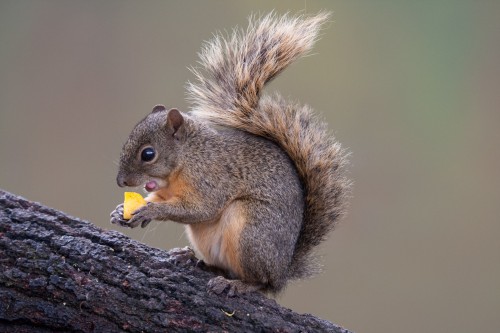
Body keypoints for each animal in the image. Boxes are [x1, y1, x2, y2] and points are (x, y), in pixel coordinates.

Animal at [111, 11, 350, 294]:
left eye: (148, 154)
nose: (121, 182)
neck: (187, 158)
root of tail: (282, 272)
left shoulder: (210, 179)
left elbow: (202, 209)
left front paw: (151, 212)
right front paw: (121, 211)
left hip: (250, 231)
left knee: (260, 282)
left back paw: (238, 284)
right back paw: (192, 259)